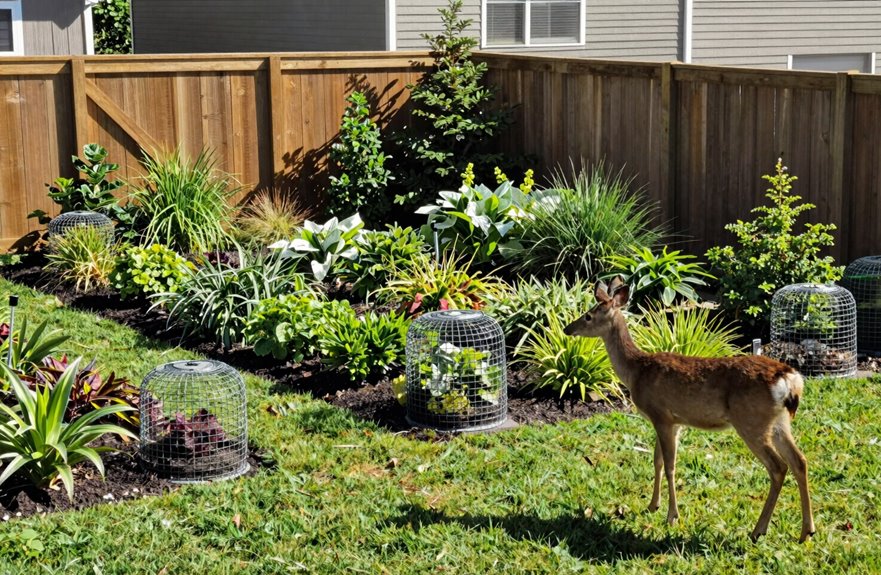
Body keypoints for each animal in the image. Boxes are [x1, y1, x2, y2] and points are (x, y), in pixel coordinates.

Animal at [563, 277, 815, 542]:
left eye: (589, 316)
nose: (567, 329)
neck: (636, 370)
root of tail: (790, 379)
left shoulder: (661, 415)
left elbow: (670, 466)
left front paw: (672, 516)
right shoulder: (672, 422)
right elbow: (657, 461)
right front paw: (652, 505)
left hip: (751, 421)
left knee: (778, 466)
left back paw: (758, 530)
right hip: (778, 422)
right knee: (800, 461)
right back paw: (806, 531)